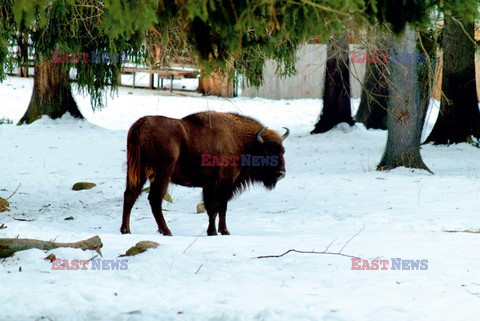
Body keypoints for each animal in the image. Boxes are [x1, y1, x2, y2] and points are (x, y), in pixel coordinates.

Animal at [121, 110, 288, 235]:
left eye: (282, 151)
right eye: (267, 152)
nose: (282, 173)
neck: (242, 141)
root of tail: (141, 125)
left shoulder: (210, 186)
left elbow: (214, 209)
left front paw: (216, 231)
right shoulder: (223, 184)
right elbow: (218, 207)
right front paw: (220, 231)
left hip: (137, 172)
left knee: (130, 195)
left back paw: (126, 230)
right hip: (161, 175)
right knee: (154, 199)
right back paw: (166, 231)